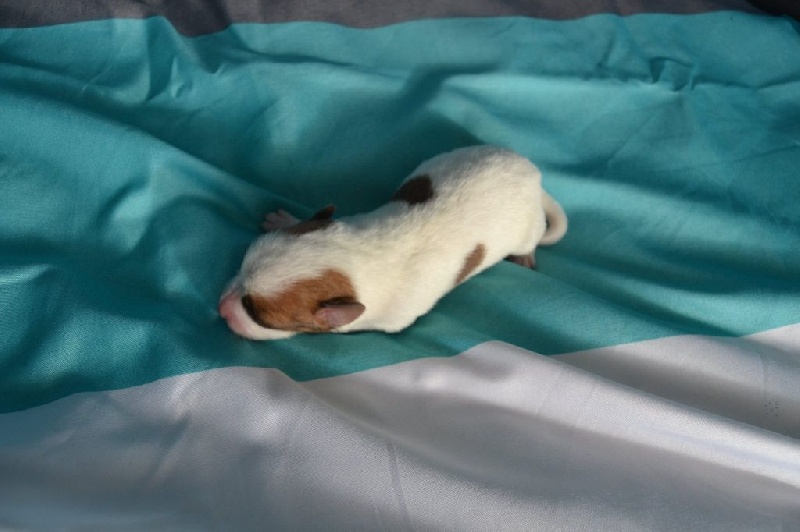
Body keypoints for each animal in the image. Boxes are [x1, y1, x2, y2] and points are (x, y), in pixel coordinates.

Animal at [219, 145, 567, 340]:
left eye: (256, 314)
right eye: (240, 270)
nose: (221, 307)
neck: (357, 255)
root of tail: (535, 178)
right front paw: (284, 219)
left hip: (526, 229)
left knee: (528, 242)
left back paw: (524, 256)